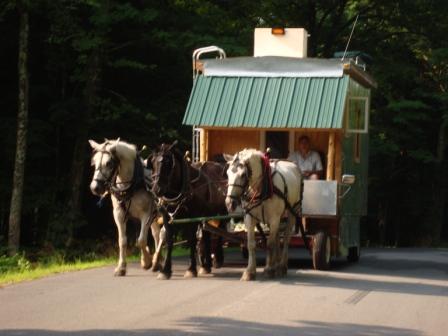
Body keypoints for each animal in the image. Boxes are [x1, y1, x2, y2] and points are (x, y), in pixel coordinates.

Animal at [89, 138, 163, 276]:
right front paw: (121, 267)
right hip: (155, 217)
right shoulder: (119, 214)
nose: (94, 187)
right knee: (157, 234)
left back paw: (156, 260)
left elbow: (141, 240)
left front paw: (146, 261)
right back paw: (158, 261)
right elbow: (122, 241)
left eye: (109, 163)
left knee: (162, 235)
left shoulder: (146, 214)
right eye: (94, 162)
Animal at [150, 141, 228, 278]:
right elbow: (169, 239)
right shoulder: (167, 216)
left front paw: (191, 269)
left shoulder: (193, 216)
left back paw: (217, 259)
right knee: (206, 235)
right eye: (153, 161)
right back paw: (206, 266)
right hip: (206, 214)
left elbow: (192, 240)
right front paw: (165, 270)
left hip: (222, 211)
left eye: (168, 163)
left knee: (220, 230)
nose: (156, 189)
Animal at [226, 149, 302, 280]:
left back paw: (281, 266)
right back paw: (276, 264)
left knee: (286, 239)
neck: (262, 188)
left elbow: (270, 244)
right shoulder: (249, 217)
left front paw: (268, 269)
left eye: (243, 175)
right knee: (277, 238)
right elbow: (251, 244)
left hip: (292, 212)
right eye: (227, 174)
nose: (229, 203)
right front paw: (250, 271)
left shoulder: (274, 218)